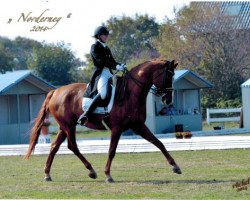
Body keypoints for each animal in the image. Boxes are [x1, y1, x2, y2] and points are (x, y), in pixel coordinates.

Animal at [24, 59, 182, 183]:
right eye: (168, 76)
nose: (168, 100)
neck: (130, 94)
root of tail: (55, 91)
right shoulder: (117, 129)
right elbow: (111, 151)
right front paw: (108, 175)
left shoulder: (138, 126)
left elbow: (159, 143)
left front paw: (175, 167)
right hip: (69, 126)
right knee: (72, 146)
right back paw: (91, 171)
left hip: (64, 127)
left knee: (54, 147)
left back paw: (47, 174)